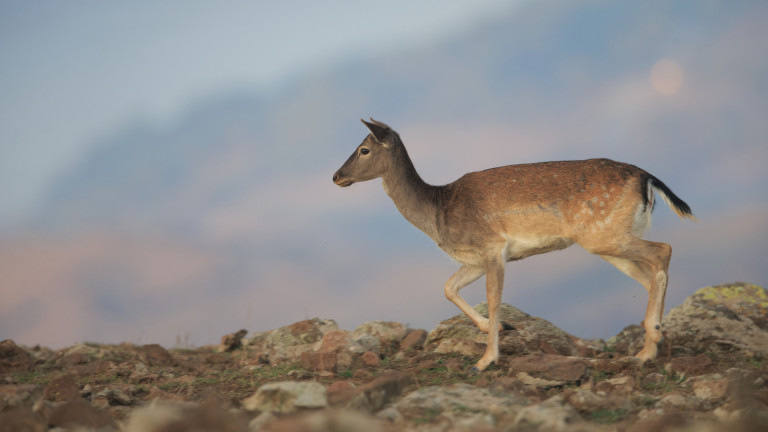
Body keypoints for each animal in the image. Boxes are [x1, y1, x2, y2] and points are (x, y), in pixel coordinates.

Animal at [332, 118, 696, 372]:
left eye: (364, 149)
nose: (336, 176)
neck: (437, 212)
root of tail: (646, 178)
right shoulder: (474, 260)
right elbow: (449, 288)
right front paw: (497, 330)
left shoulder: (493, 247)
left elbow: (494, 299)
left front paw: (486, 359)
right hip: (608, 240)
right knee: (648, 274)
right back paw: (648, 346)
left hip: (604, 234)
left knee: (663, 251)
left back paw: (650, 345)